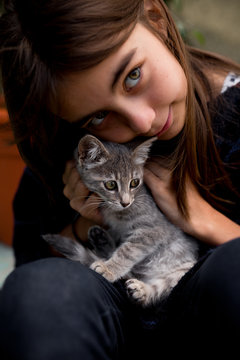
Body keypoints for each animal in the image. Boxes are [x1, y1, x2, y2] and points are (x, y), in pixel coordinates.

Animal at [44, 135, 198, 306]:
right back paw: (100, 239)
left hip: (182, 271)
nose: (125, 202)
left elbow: (128, 250)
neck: (117, 213)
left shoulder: (154, 229)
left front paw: (109, 269)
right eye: (110, 184)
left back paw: (141, 290)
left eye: (134, 182)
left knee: (160, 289)